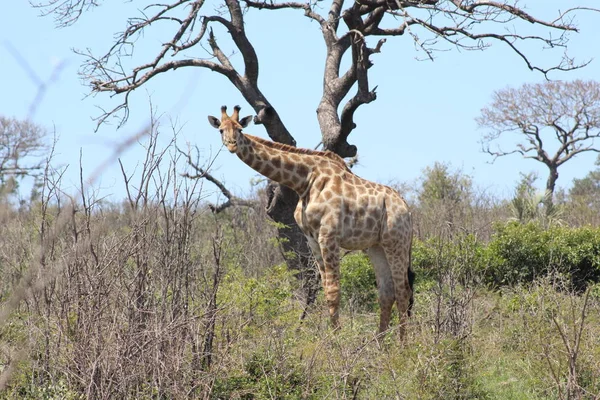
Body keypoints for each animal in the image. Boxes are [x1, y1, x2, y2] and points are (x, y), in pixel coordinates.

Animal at [209, 104, 414, 340]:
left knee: (403, 290)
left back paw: (403, 344)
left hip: (396, 241)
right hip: (376, 246)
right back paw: (379, 343)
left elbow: (334, 291)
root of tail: (407, 209)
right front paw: (332, 337)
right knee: (387, 292)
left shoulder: (329, 236)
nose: (232, 145)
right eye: (221, 130)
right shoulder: (313, 239)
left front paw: (336, 340)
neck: (304, 180)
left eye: (240, 129)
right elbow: (325, 290)